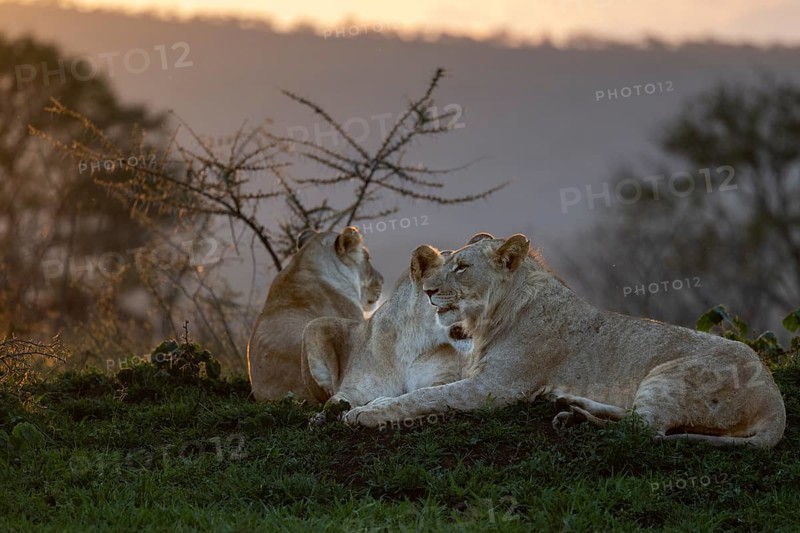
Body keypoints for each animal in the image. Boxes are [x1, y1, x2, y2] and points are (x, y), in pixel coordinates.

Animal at [343, 233, 786, 448]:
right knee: (639, 422)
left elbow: (426, 397)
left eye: (462, 267)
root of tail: (774, 400)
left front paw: (364, 415)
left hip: (669, 377)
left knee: (645, 431)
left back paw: (576, 419)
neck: (493, 316)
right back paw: (569, 403)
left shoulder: (496, 388)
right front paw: (369, 406)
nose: (429, 290)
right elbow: (413, 393)